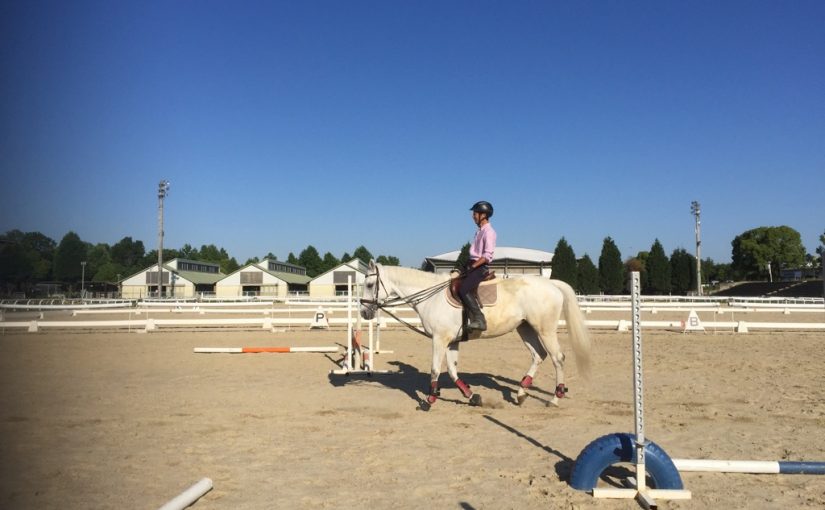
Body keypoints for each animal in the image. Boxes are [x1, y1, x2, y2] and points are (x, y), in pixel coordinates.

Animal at [359, 261, 592, 408]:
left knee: (557, 358)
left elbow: (435, 369)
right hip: (525, 328)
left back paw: (555, 398)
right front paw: (472, 397)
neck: (431, 296)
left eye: (370, 284)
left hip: (545, 329)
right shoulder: (452, 341)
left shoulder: (439, 339)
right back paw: (521, 394)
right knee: (538, 355)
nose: (363, 312)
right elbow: (453, 371)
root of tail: (552, 283)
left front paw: (429, 400)